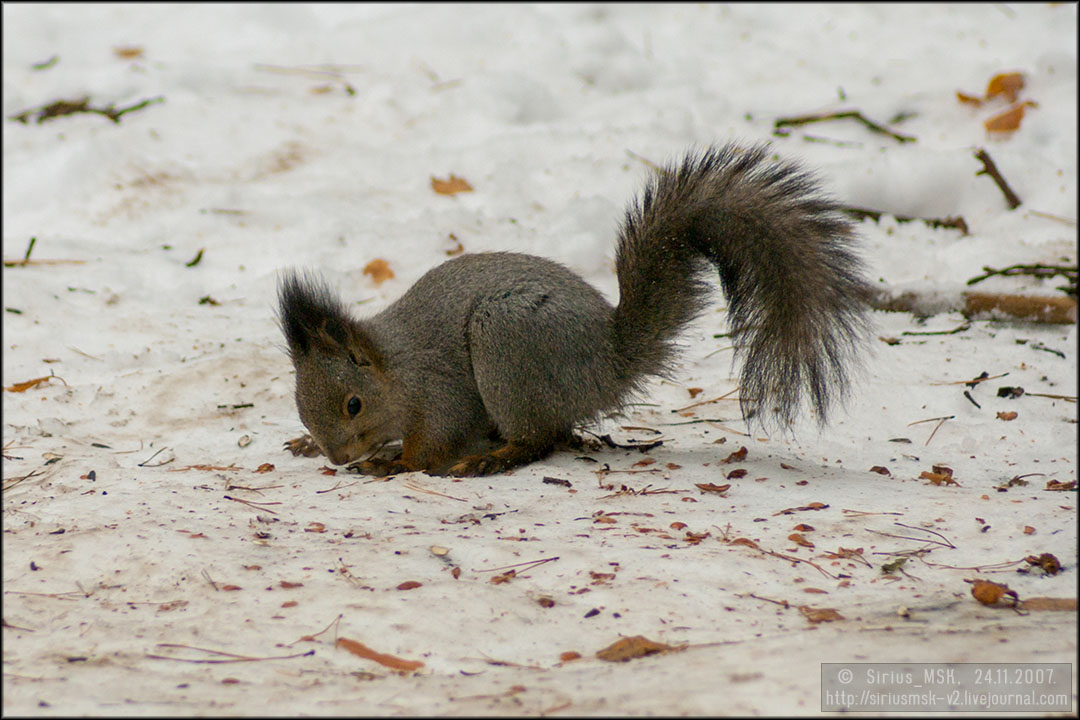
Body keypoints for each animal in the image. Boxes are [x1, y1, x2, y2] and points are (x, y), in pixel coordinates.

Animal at [276, 142, 868, 474]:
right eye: (301, 407)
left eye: (353, 404)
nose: (337, 457)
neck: (393, 369)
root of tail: (608, 360)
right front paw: (310, 448)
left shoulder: (438, 392)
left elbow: (434, 441)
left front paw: (391, 465)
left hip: (506, 343)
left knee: (541, 438)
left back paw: (494, 458)